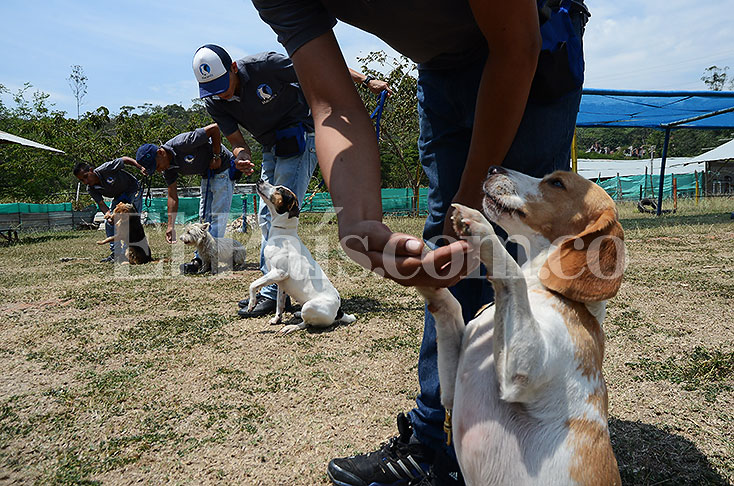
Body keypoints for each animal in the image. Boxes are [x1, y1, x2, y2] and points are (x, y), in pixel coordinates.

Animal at [247, 178, 356, 334]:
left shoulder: (279, 273)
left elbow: (253, 284)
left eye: (279, 189)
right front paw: (276, 319)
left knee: (306, 324)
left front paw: (251, 304)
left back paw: (291, 326)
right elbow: (279, 304)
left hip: (309, 307)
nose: (261, 180)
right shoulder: (280, 282)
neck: (284, 232)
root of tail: (339, 313)